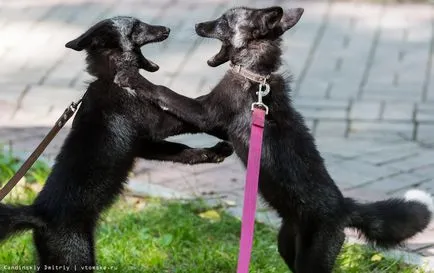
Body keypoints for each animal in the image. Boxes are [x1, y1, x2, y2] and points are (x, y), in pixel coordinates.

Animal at [0, 16, 232, 270]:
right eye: (136, 27)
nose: (167, 29)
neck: (111, 78)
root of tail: (38, 214)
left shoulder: (143, 144)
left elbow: (182, 151)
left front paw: (215, 152)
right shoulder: (157, 125)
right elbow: (190, 111)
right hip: (78, 258)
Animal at [118, 6, 434, 272]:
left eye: (225, 20)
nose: (197, 24)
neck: (256, 76)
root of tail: (344, 206)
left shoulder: (206, 113)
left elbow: (165, 92)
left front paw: (132, 78)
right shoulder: (214, 121)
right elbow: (174, 114)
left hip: (312, 259)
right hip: (286, 246)